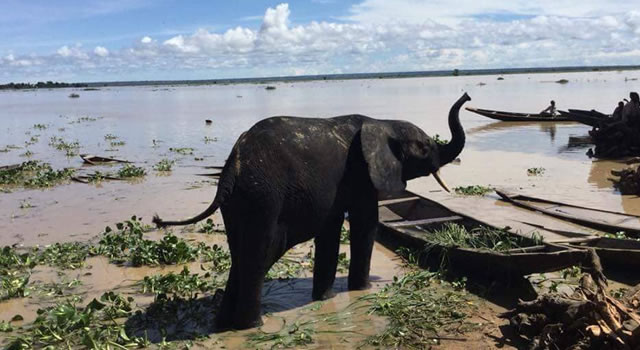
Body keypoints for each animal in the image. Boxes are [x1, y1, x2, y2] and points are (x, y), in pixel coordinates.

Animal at [152, 91, 468, 330]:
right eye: (425, 147)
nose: (466, 96)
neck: (382, 123)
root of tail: (232, 167)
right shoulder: (362, 174)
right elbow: (365, 224)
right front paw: (362, 291)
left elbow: (330, 229)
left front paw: (325, 298)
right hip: (263, 199)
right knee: (259, 256)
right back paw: (251, 326)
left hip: (239, 203)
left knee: (240, 255)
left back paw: (223, 326)